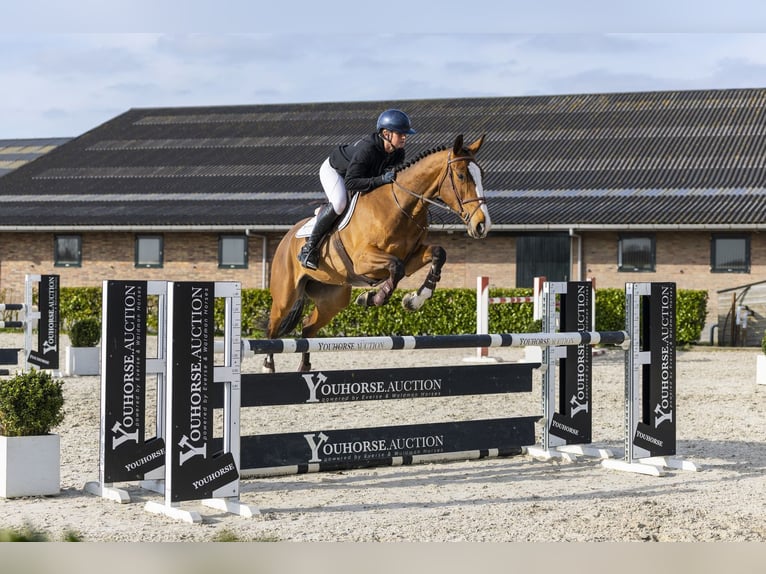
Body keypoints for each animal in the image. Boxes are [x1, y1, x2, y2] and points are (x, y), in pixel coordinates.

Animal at [263, 134, 490, 372]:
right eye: (461, 175)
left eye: (481, 175)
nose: (482, 225)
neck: (401, 206)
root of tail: (288, 237)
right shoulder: (363, 260)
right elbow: (396, 267)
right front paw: (373, 297)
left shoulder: (412, 257)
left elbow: (438, 253)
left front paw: (414, 300)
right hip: (286, 295)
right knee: (273, 329)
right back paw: (268, 367)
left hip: (333, 299)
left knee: (308, 328)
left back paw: (304, 368)